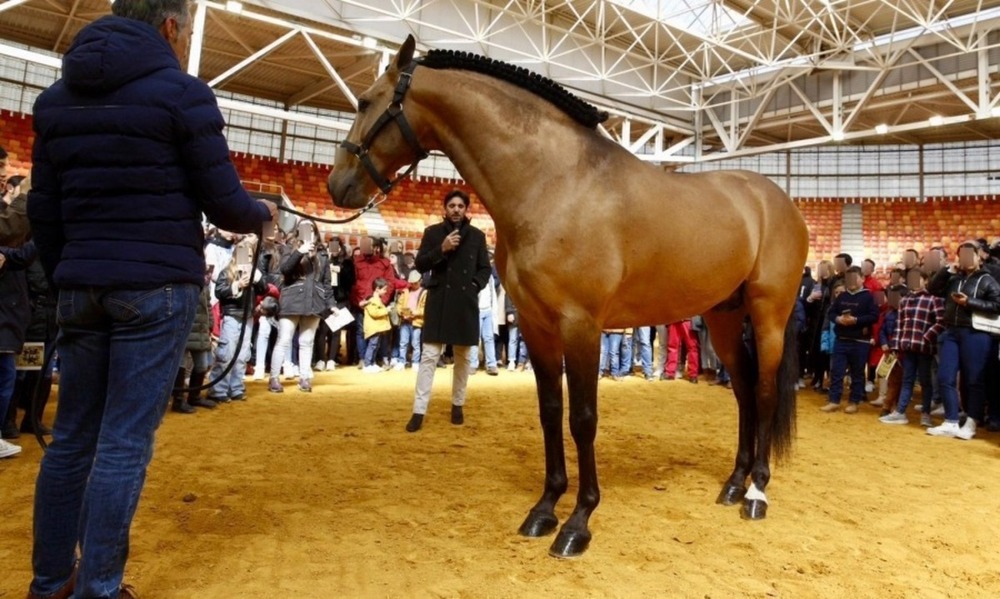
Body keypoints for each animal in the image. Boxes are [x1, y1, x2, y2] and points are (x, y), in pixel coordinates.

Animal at [328, 34, 812, 556]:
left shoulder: (581, 326)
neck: (555, 184)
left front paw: (579, 521)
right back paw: (734, 484)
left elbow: (582, 418)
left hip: (768, 315)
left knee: (764, 392)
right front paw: (544, 508)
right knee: (742, 390)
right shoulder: (537, 326)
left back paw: (757, 492)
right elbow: (550, 411)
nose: (337, 184)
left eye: (365, 102)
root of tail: (778, 201)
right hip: (723, 317)